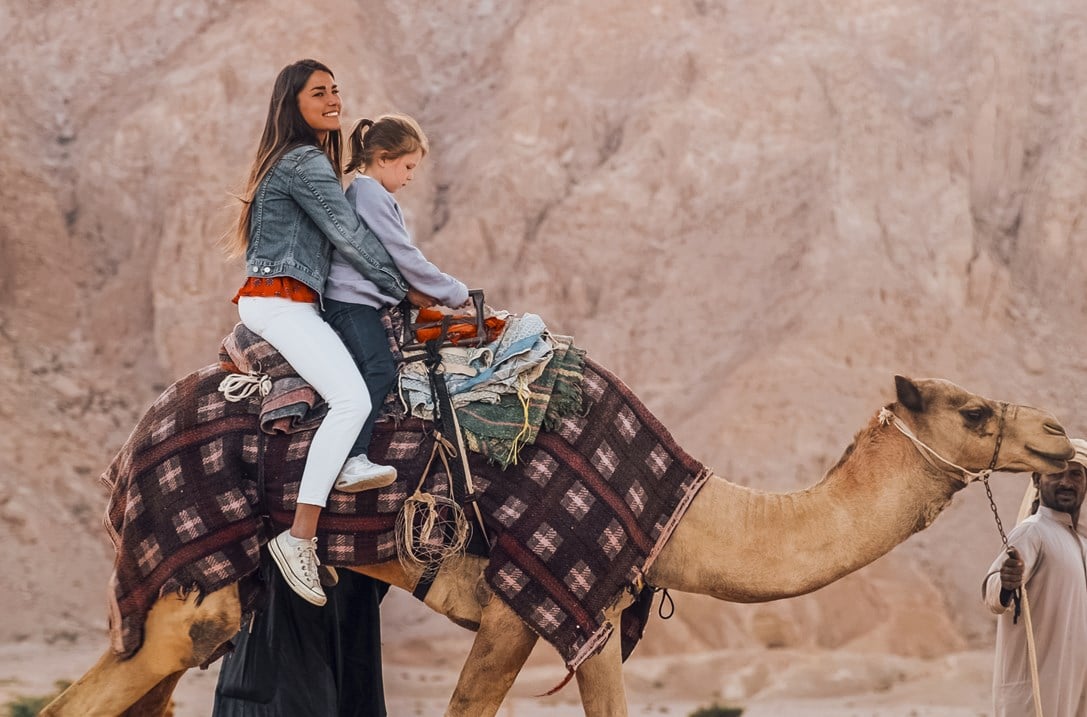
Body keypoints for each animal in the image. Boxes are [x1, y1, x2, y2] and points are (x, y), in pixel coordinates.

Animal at [42, 371, 1069, 712]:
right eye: (973, 409)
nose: (1059, 433)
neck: (683, 509)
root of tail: (132, 441)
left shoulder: (598, 611)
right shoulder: (516, 604)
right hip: (189, 590)